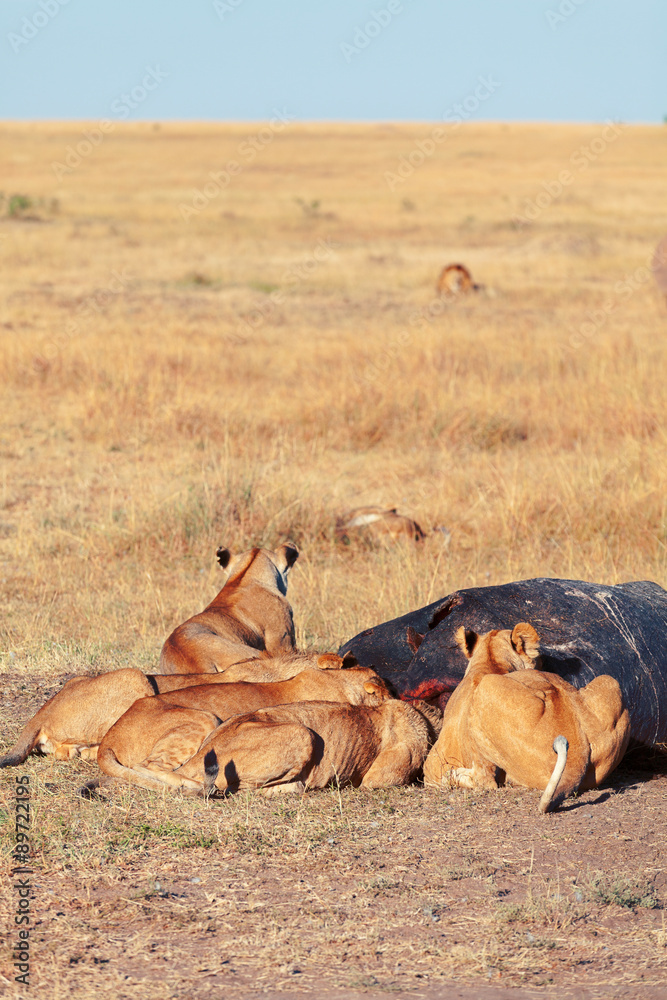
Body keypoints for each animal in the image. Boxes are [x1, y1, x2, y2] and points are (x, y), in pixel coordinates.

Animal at [423, 623, 630, 813]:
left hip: (486, 689)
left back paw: (453, 775)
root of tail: (577, 755)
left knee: (485, 780)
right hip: (610, 682)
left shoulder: (434, 762)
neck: (491, 661)